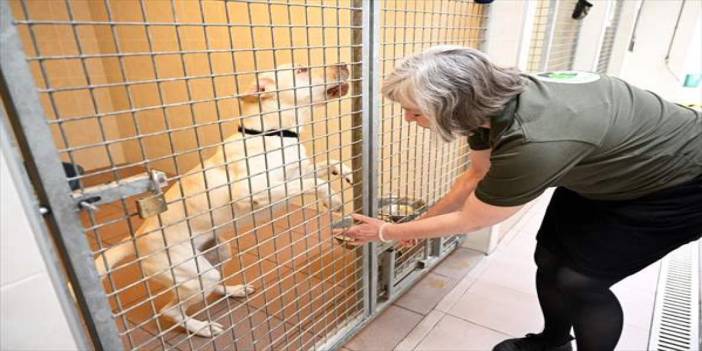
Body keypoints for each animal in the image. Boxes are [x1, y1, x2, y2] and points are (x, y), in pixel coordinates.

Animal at [95, 64, 352, 338]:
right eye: (301, 69)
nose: (345, 65)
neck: (272, 133)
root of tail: (135, 240)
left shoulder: (297, 171)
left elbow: (327, 164)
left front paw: (345, 172)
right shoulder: (254, 190)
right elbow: (314, 183)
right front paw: (333, 200)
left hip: (218, 253)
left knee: (214, 284)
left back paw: (234, 290)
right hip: (195, 275)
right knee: (170, 310)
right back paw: (202, 328)